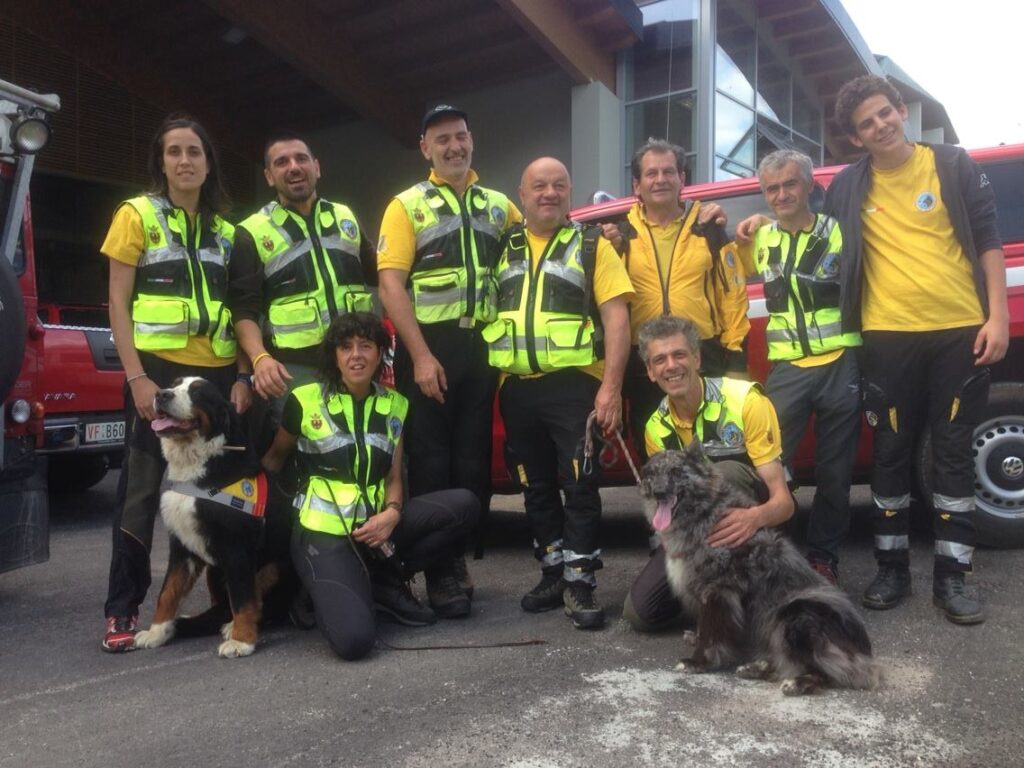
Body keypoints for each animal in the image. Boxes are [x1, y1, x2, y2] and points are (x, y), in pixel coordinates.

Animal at [132, 376, 292, 659]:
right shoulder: (181, 547)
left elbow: (243, 597)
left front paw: (242, 641)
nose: (161, 395)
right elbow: (167, 592)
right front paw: (156, 631)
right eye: (174, 384)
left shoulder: (237, 547)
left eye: (197, 394)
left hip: (275, 566)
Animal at [638, 444, 880, 696]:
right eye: (652, 473)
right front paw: (697, 638)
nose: (658, 492)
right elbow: (705, 628)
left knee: (823, 672)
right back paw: (756, 667)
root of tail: (864, 652)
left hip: (795, 614)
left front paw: (699, 662)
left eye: (676, 472)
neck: (707, 513)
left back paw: (796, 683)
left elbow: (712, 636)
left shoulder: (718, 592)